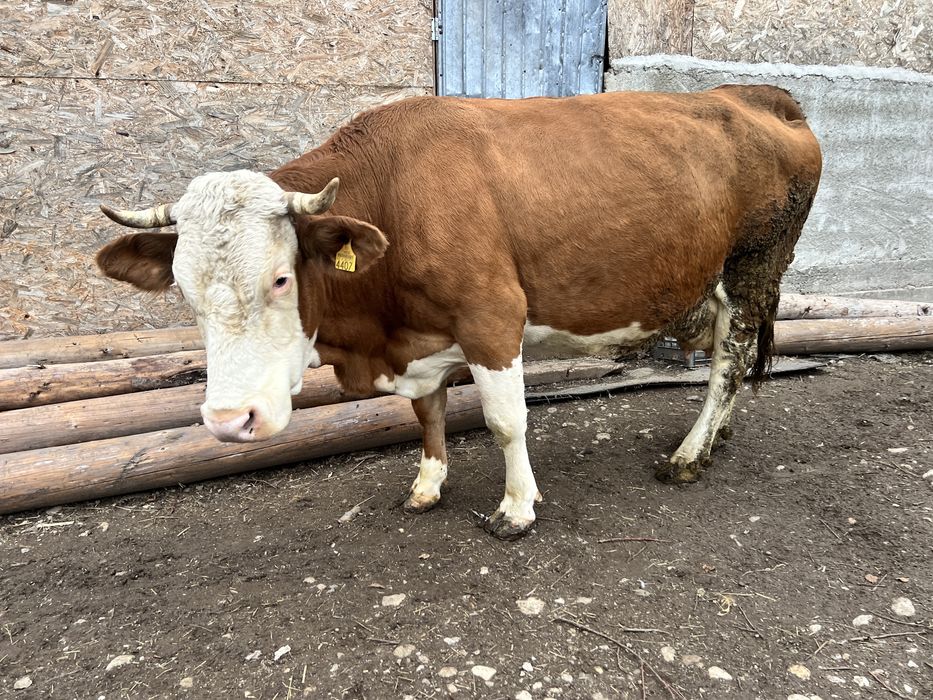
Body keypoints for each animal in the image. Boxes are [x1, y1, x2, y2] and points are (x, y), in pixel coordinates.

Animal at [96, 87, 822, 539]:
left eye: (280, 279)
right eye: (183, 292)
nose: (227, 421)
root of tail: (753, 94)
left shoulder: (492, 318)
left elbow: (504, 421)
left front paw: (517, 508)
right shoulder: (420, 340)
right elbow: (428, 415)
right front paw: (427, 485)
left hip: (753, 267)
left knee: (731, 358)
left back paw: (689, 455)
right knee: (729, 355)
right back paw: (714, 436)